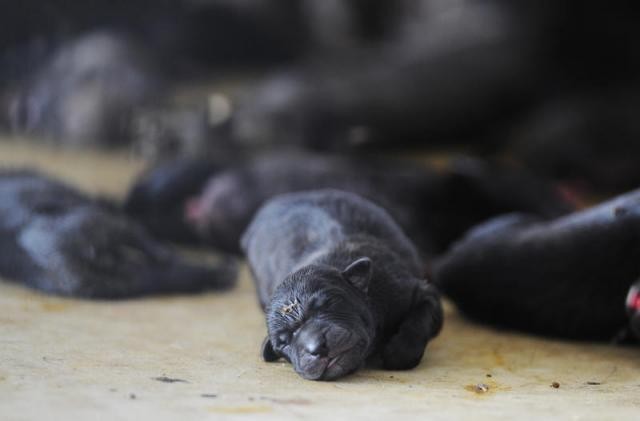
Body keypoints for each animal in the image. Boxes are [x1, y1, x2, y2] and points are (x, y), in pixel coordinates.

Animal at [242, 190, 442, 380]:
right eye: (284, 342)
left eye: (328, 304)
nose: (317, 348)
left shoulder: (410, 291)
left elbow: (420, 320)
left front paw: (397, 352)